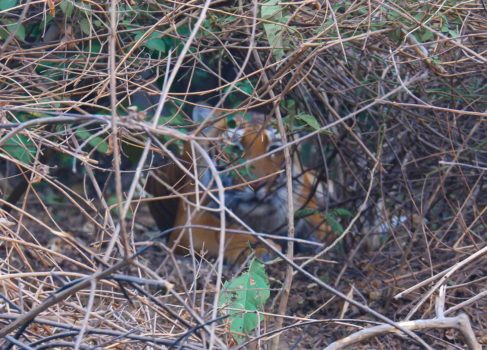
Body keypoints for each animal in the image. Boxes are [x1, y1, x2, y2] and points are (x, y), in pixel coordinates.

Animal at [147, 103, 330, 262]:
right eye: (235, 148)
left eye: (274, 149)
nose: (256, 184)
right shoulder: (188, 225)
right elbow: (228, 233)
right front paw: (262, 248)